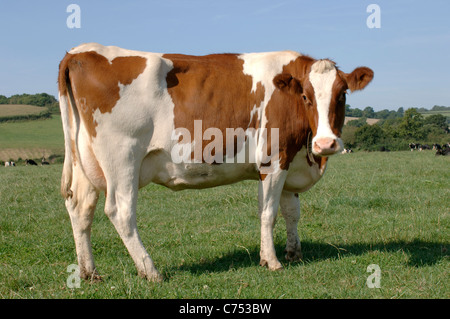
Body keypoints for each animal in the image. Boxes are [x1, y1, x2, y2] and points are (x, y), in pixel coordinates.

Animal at [57, 42, 372, 282]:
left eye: (342, 95)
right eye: (306, 96)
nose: (326, 144)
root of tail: (82, 51)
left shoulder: (289, 160)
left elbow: (291, 211)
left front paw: (294, 252)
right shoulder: (273, 159)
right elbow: (268, 213)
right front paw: (271, 260)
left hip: (86, 162)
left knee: (80, 208)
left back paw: (89, 272)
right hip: (123, 159)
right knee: (120, 212)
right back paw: (151, 271)